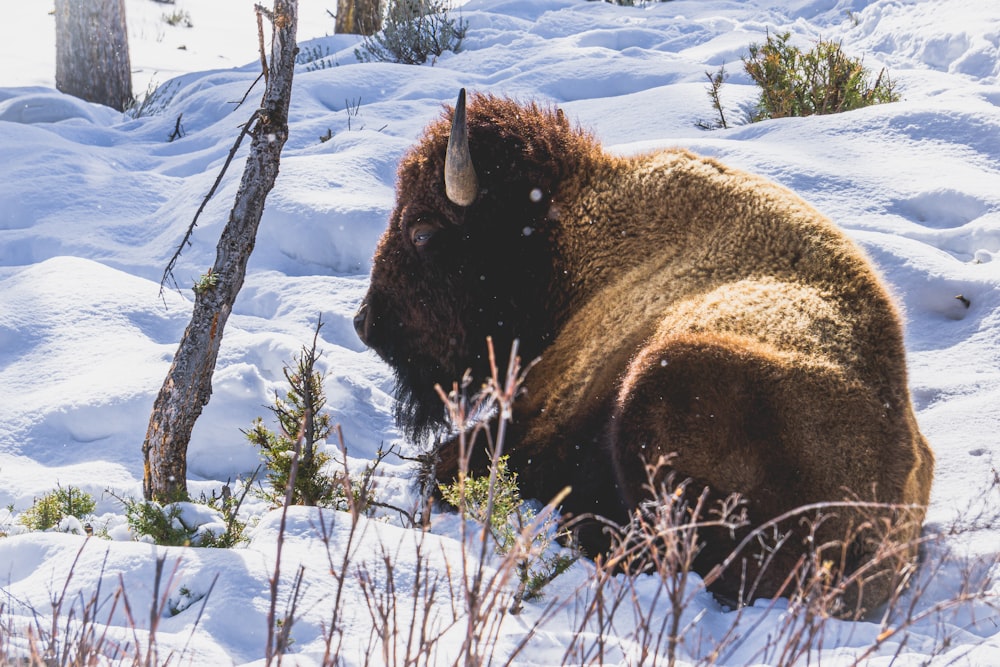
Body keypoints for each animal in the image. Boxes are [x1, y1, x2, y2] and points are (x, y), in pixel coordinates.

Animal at [358, 88, 936, 616]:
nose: (364, 324)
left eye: (423, 231)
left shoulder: (537, 418)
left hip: (661, 377)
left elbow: (445, 463)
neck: (567, 241)